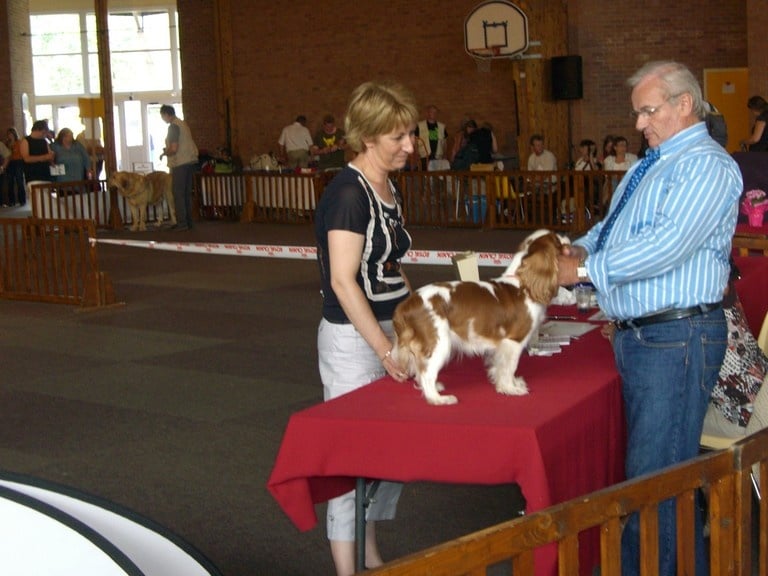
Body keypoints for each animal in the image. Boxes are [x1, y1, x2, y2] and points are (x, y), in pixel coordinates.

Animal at [392, 229, 567, 405]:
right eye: (557, 241)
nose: (565, 236)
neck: (523, 284)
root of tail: (407, 304)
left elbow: (501, 367)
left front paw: (512, 384)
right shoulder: (513, 341)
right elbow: (509, 367)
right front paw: (510, 388)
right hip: (439, 343)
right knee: (426, 373)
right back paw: (438, 398)